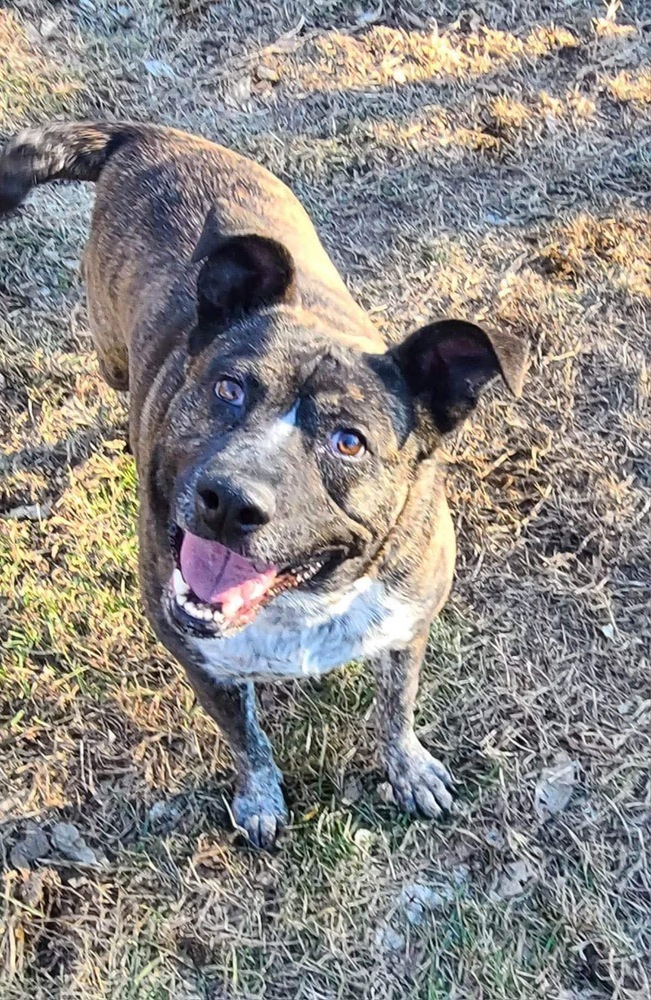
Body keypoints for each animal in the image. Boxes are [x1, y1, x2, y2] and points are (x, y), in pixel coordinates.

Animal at [0, 121, 528, 848]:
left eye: (348, 441)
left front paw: (408, 767)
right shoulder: (201, 659)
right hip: (111, 350)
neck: (301, 601)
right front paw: (259, 798)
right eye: (229, 388)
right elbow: (245, 738)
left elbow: (395, 705)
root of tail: (143, 133)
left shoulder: (407, 625)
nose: (228, 503)